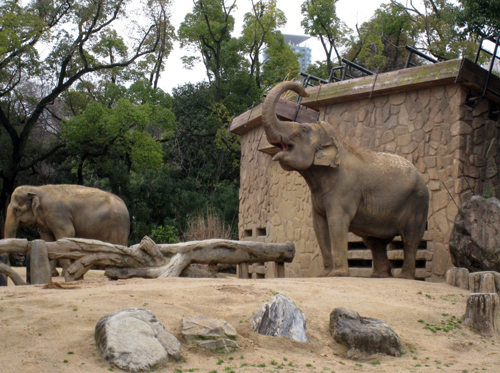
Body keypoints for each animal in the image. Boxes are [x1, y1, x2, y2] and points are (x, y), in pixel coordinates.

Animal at [3, 183, 131, 280]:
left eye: (16, 210)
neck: (37, 189)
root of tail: (124, 204)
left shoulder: (58, 214)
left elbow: (67, 234)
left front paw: (65, 273)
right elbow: (47, 239)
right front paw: (53, 274)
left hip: (119, 224)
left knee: (118, 244)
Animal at [262, 82, 430, 280]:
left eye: (303, 130)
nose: (305, 91)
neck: (337, 142)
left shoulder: (345, 190)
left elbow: (336, 223)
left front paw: (337, 274)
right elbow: (319, 226)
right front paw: (324, 275)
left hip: (418, 202)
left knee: (410, 238)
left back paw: (403, 276)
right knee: (375, 241)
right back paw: (378, 276)